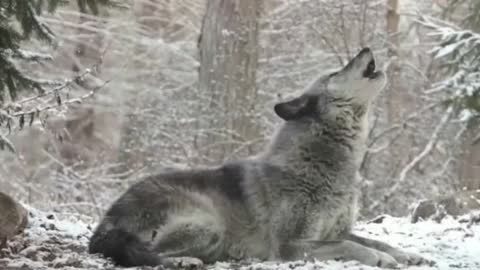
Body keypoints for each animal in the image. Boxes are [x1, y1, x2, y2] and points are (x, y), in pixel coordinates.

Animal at [88, 48, 430, 268]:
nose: (366, 48)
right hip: (207, 223)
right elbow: (351, 245)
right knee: (148, 255)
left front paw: (404, 254)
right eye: (335, 72)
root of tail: (105, 223)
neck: (319, 164)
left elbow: (372, 240)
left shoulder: (335, 231)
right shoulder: (292, 244)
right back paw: (185, 261)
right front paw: (382, 259)